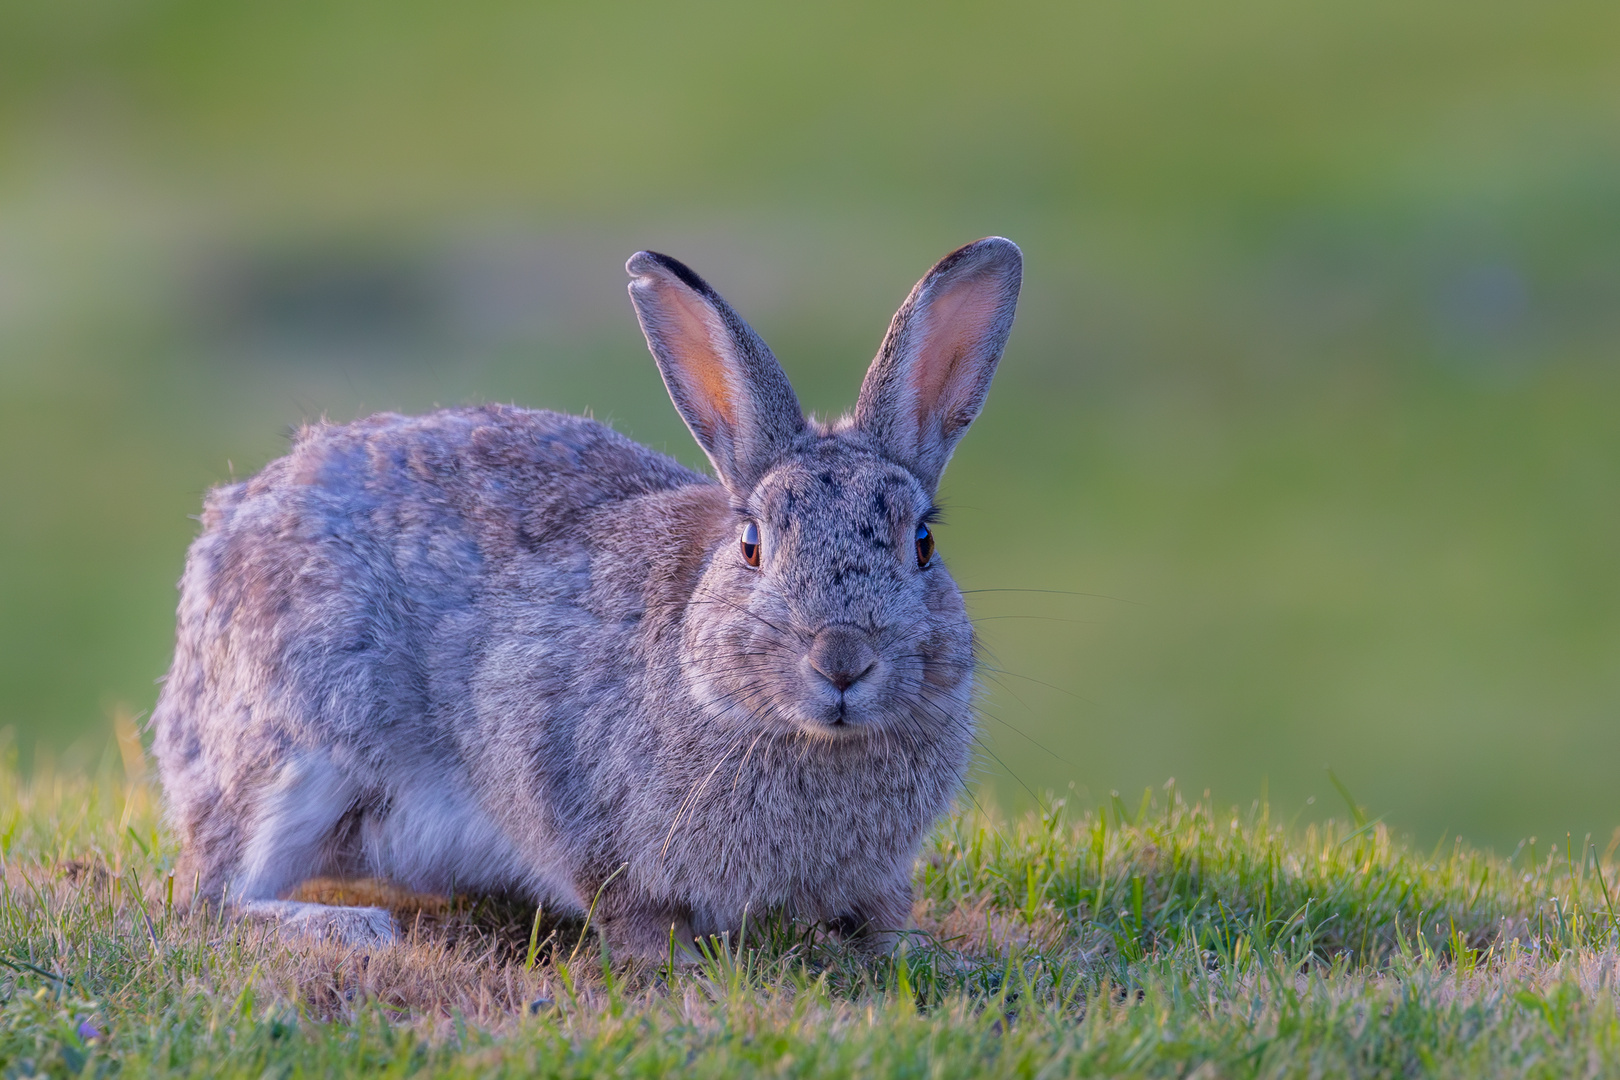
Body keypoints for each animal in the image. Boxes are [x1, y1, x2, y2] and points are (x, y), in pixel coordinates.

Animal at [149, 236, 1010, 952]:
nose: (841, 658)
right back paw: (348, 927)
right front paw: (674, 961)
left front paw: (911, 946)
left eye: (922, 544)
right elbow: (625, 905)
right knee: (211, 896)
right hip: (295, 751)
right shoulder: (553, 770)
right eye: (752, 544)